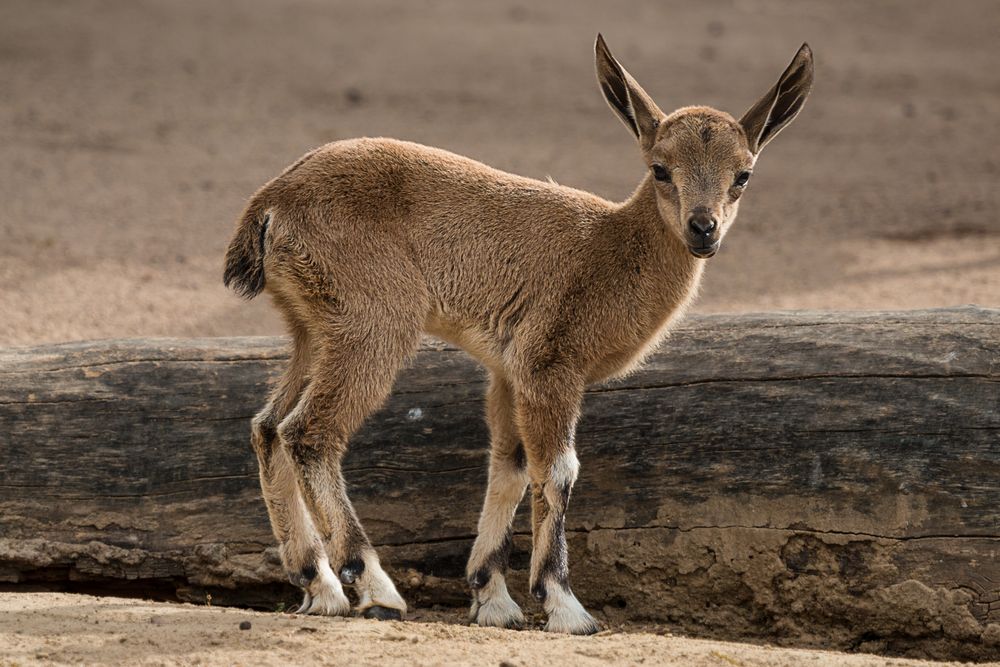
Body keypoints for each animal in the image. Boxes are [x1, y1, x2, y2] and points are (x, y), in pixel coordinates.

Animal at [225, 35, 812, 632]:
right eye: (660, 168)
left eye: (743, 175)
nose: (703, 229)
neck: (610, 249)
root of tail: (270, 204)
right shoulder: (548, 362)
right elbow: (558, 470)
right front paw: (566, 607)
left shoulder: (507, 372)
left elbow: (508, 466)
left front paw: (493, 600)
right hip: (375, 323)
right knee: (308, 432)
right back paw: (375, 588)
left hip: (314, 329)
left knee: (267, 427)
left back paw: (319, 586)